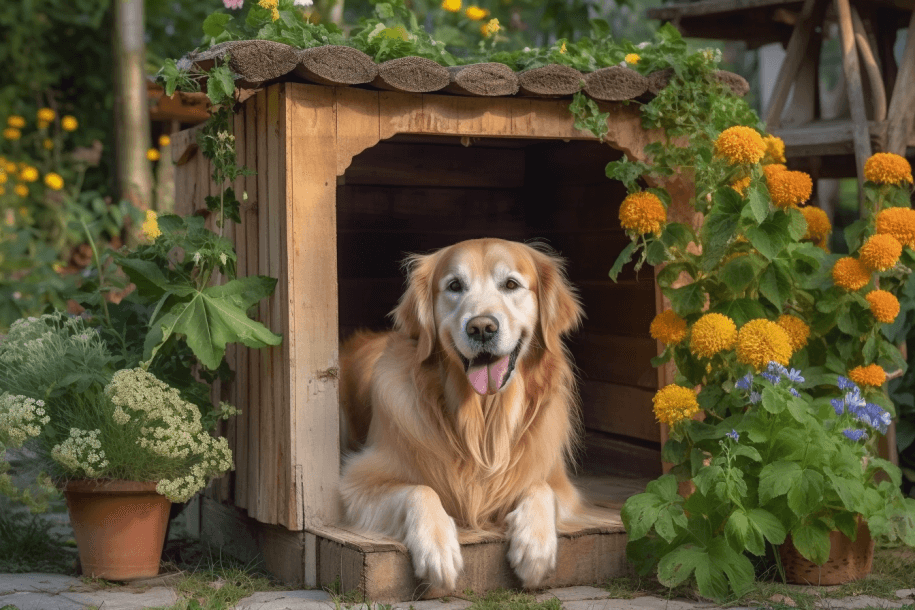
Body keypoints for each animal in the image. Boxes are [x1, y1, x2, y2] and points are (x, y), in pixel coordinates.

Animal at [340, 236, 592, 588]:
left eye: (511, 284)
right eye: (455, 286)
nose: (481, 327)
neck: (482, 419)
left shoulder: (562, 485)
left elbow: (541, 488)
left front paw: (535, 545)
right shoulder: (356, 482)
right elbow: (419, 489)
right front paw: (437, 546)